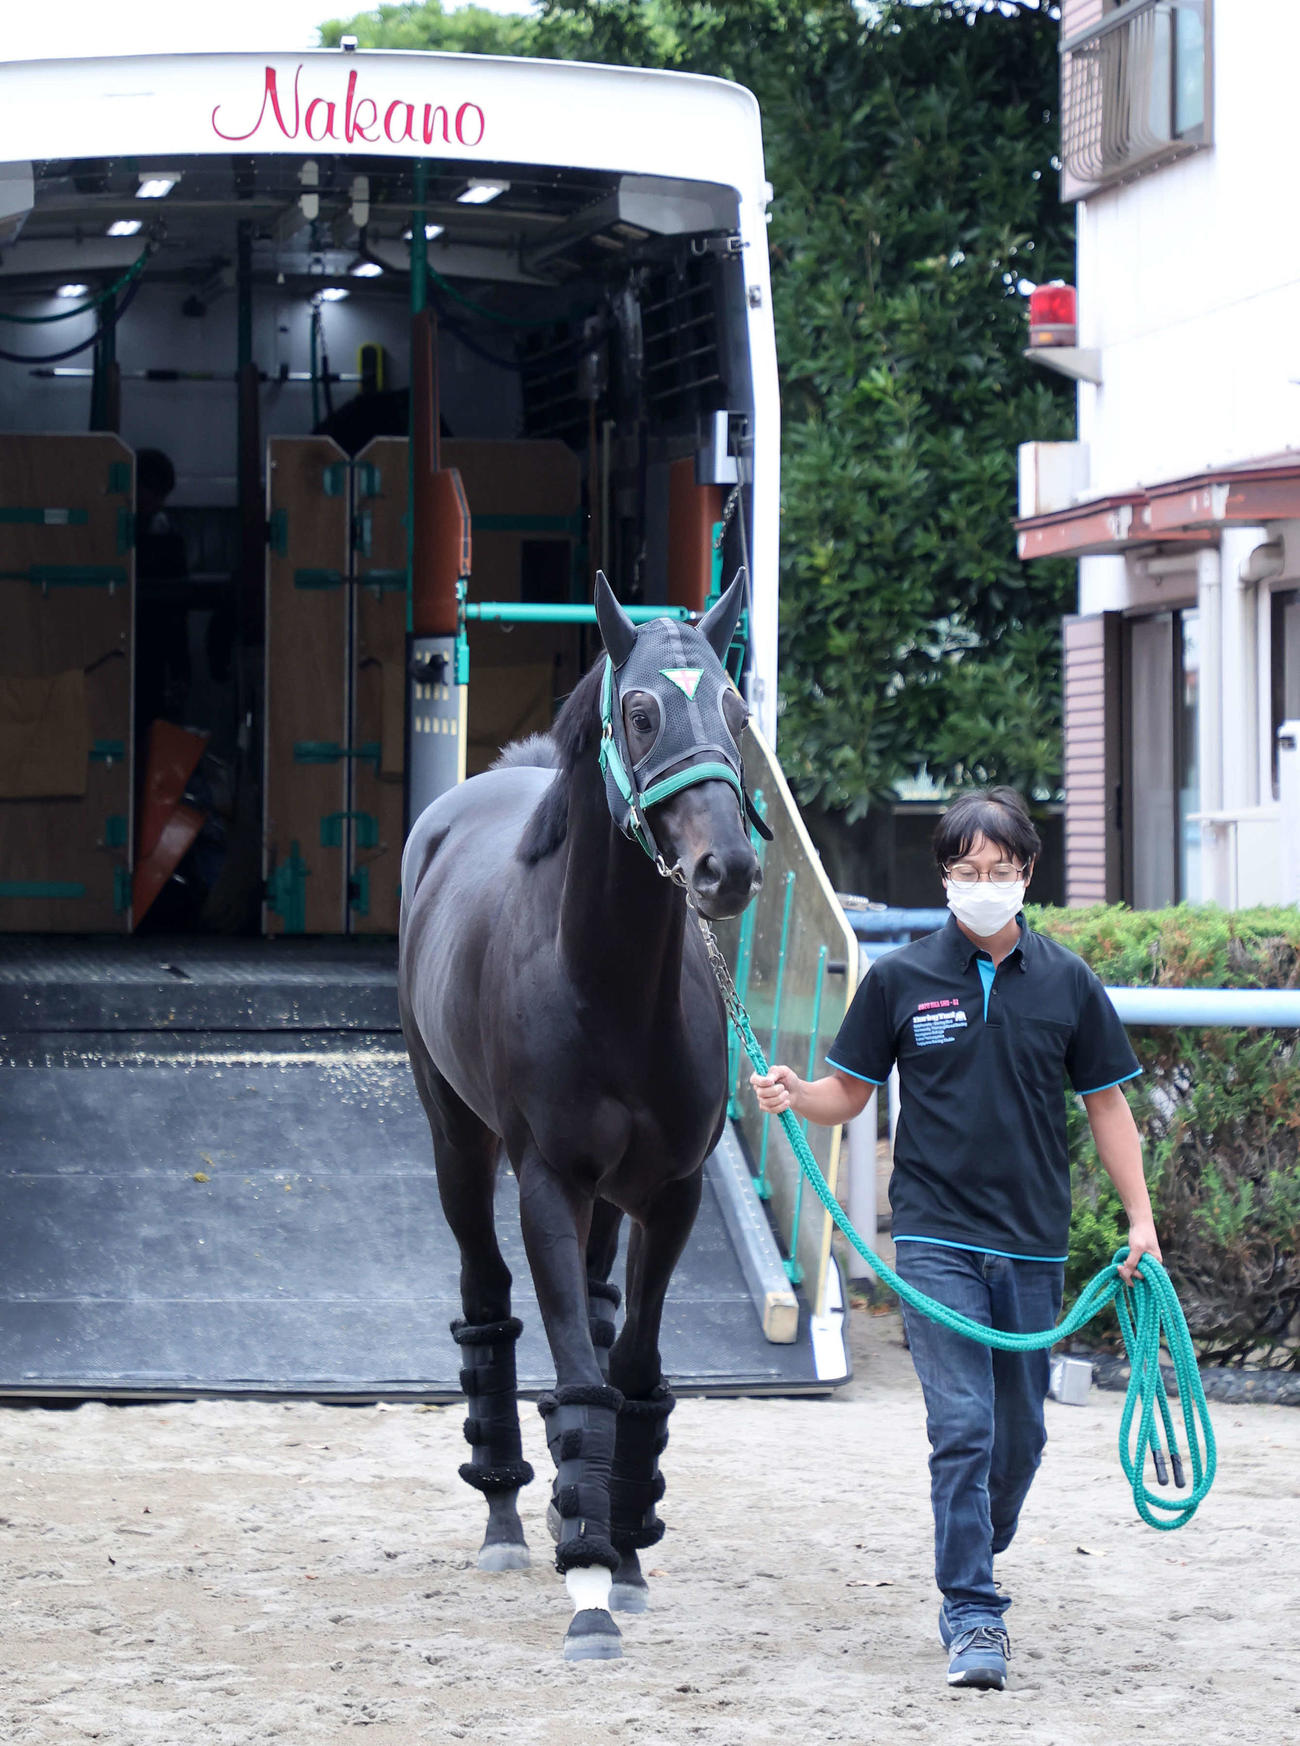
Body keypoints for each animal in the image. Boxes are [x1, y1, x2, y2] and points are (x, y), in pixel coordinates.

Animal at [397, 571, 765, 1661]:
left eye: (737, 711)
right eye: (641, 711)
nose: (728, 869)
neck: (609, 989)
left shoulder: (671, 1196)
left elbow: (631, 1372)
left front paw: (626, 1554)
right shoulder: (548, 1187)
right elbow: (578, 1382)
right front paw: (590, 1584)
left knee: (600, 1320)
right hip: (459, 1149)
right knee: (488, 1307)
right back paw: (510, 1521)